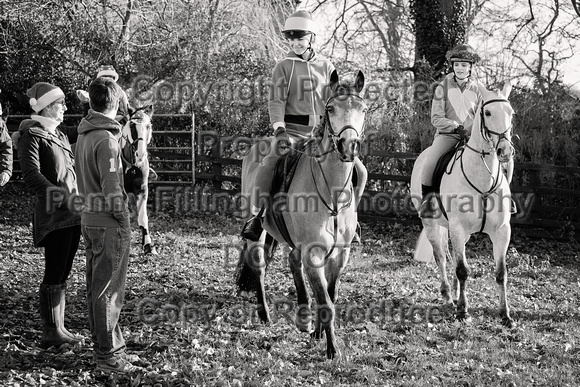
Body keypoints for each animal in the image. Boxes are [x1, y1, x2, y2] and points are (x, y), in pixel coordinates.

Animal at [236, 70, 368, 360]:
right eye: (330, 109)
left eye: (363, 109)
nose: (349, 146)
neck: (332, 193)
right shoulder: (313, 252)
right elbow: (326, 301)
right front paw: (332, 350)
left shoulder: (340, 255)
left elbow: (330, 294)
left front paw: (318, 333)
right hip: (258, 234)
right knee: (259, 267)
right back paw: (265, 314)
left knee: (293, 263)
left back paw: (304, 315)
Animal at [408, 81, 516, 328]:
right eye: (487, 113)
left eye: (511, 113)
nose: (505, 151)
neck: (482, 179)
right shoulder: (457, 227)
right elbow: (462, 270)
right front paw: (463, 312)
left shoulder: (501, 231)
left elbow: (501, 273)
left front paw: (505, 315)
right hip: (431, 224)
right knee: (441, 258)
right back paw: (449, 296)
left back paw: (456, 296)